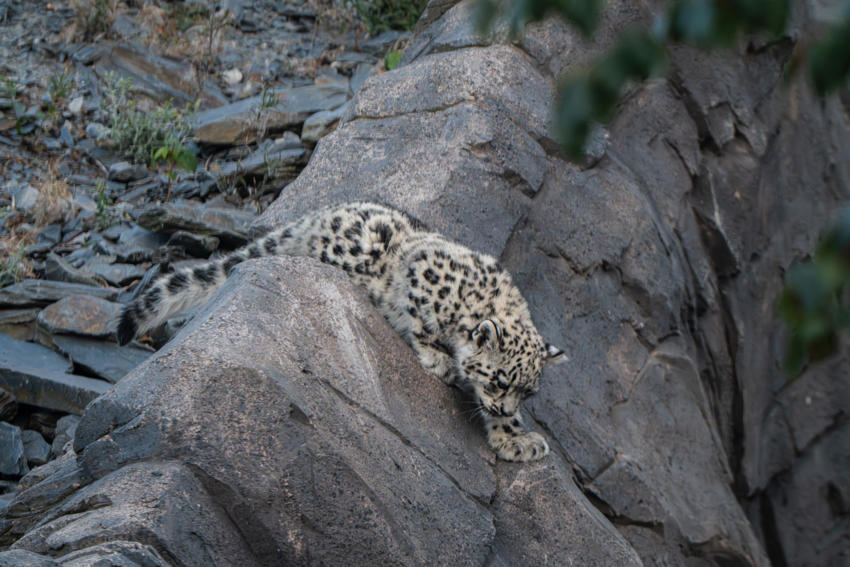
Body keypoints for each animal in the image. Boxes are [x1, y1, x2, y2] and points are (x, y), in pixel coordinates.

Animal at [117, 202, 564, 462]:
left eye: (528, 392)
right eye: (500, 379)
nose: (505, 409)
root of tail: (315, 216)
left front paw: (517, 439)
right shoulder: (421, 274)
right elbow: (422, 321)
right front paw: (439, 358)